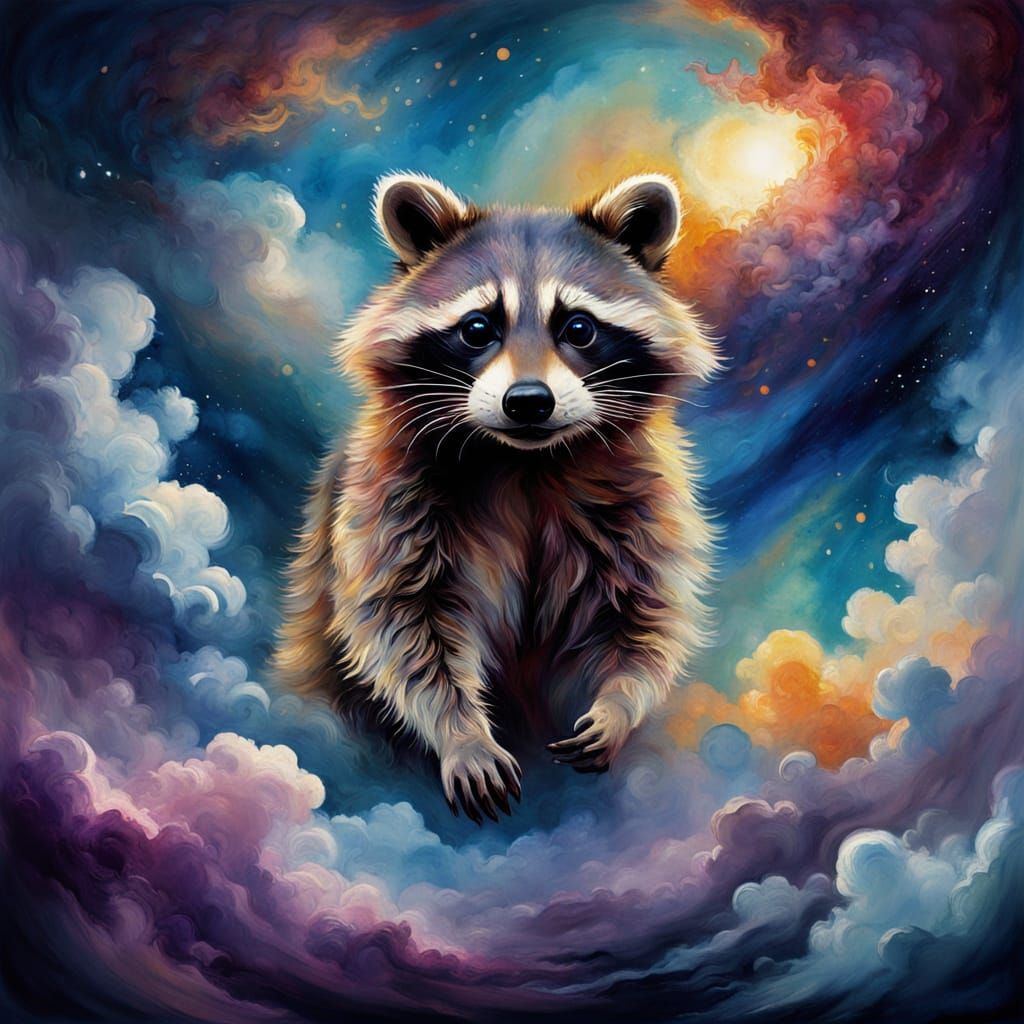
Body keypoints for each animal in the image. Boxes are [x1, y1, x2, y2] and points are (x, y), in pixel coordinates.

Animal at [273, 172, 721, 823]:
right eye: (478, 328)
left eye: (578, 328)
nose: (528, 400)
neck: (524, 462)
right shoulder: (386, 493)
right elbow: (402, 621)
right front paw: (461, 733)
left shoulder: (643, 493)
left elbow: (645, 615)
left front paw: (619, 702)